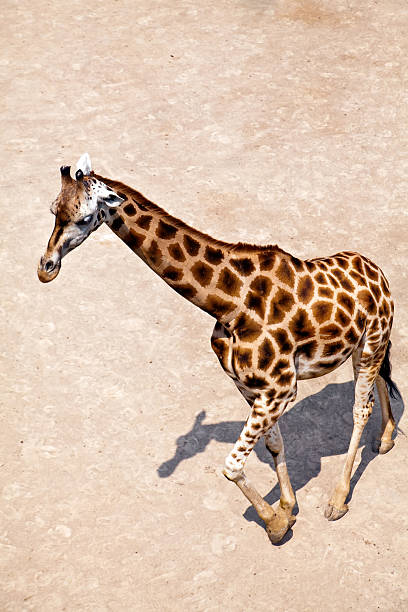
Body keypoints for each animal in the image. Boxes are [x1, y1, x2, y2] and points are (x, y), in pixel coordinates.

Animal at [38, 154, 398, 544]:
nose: (46, 268)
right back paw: (386, 438)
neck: (228, 304)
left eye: (84, 217)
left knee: (360, 408)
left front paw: (274, 525)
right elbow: (273, 445)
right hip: (362, 345)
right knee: (379, 380)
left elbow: (231, 465)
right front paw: (286, 510)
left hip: (372, 339)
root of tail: (378, 273)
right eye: (54, 209)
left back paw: (338, 499)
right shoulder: (250, 387)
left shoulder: (281, 388)